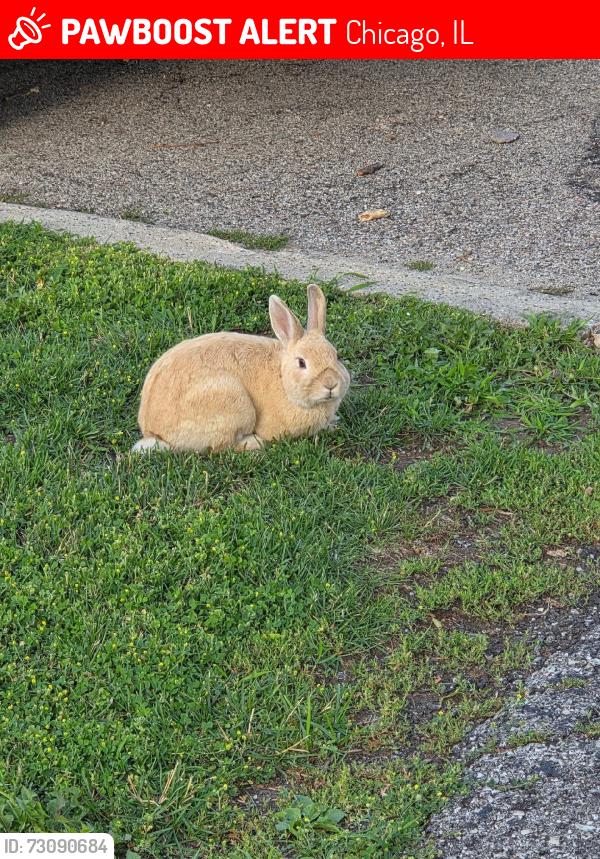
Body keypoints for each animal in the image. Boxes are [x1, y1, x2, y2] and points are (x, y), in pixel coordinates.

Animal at [132, 284, 350, 453]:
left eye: (336, 356)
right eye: (302, 362)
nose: (331, 384)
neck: (282, 379)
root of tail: (154, 432)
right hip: (233, 405)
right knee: (221, 447)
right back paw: (255, 442)